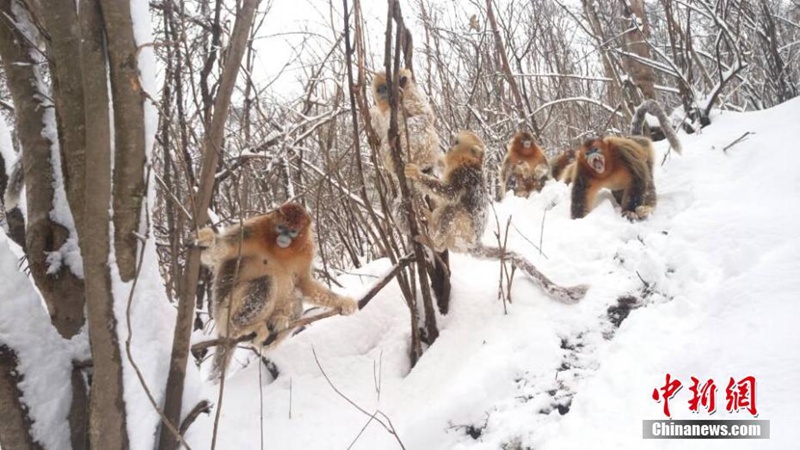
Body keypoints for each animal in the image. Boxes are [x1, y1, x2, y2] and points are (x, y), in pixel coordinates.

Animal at [194, 204, 356, 380]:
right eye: (280, 227)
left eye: (293, 231)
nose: (284, 238)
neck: (279, 250)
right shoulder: (251, 230)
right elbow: (219, 252)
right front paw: (207, 240)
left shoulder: (307, 249)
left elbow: (304, 283)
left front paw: (343, 302)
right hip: (225, 310)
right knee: (266, 282)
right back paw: (241, 327)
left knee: (297, 301)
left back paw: (276, 324)